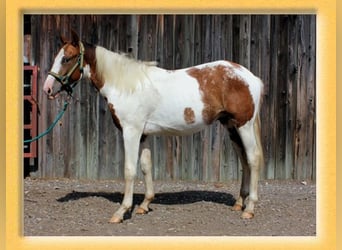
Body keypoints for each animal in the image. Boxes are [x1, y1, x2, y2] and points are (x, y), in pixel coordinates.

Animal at [42, 29, 264, 223]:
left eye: (67, 58)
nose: (47, 89)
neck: (127, 85)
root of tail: (249, 76)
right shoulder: (143, 134)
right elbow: (146, 166)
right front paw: (144, 205)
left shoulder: (131, 132)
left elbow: (130, 169)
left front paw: (121, 211)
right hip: (231, 127)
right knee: (244, 160)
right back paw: (239, 203)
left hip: (244, 126)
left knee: (253, 159)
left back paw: (250, 209)